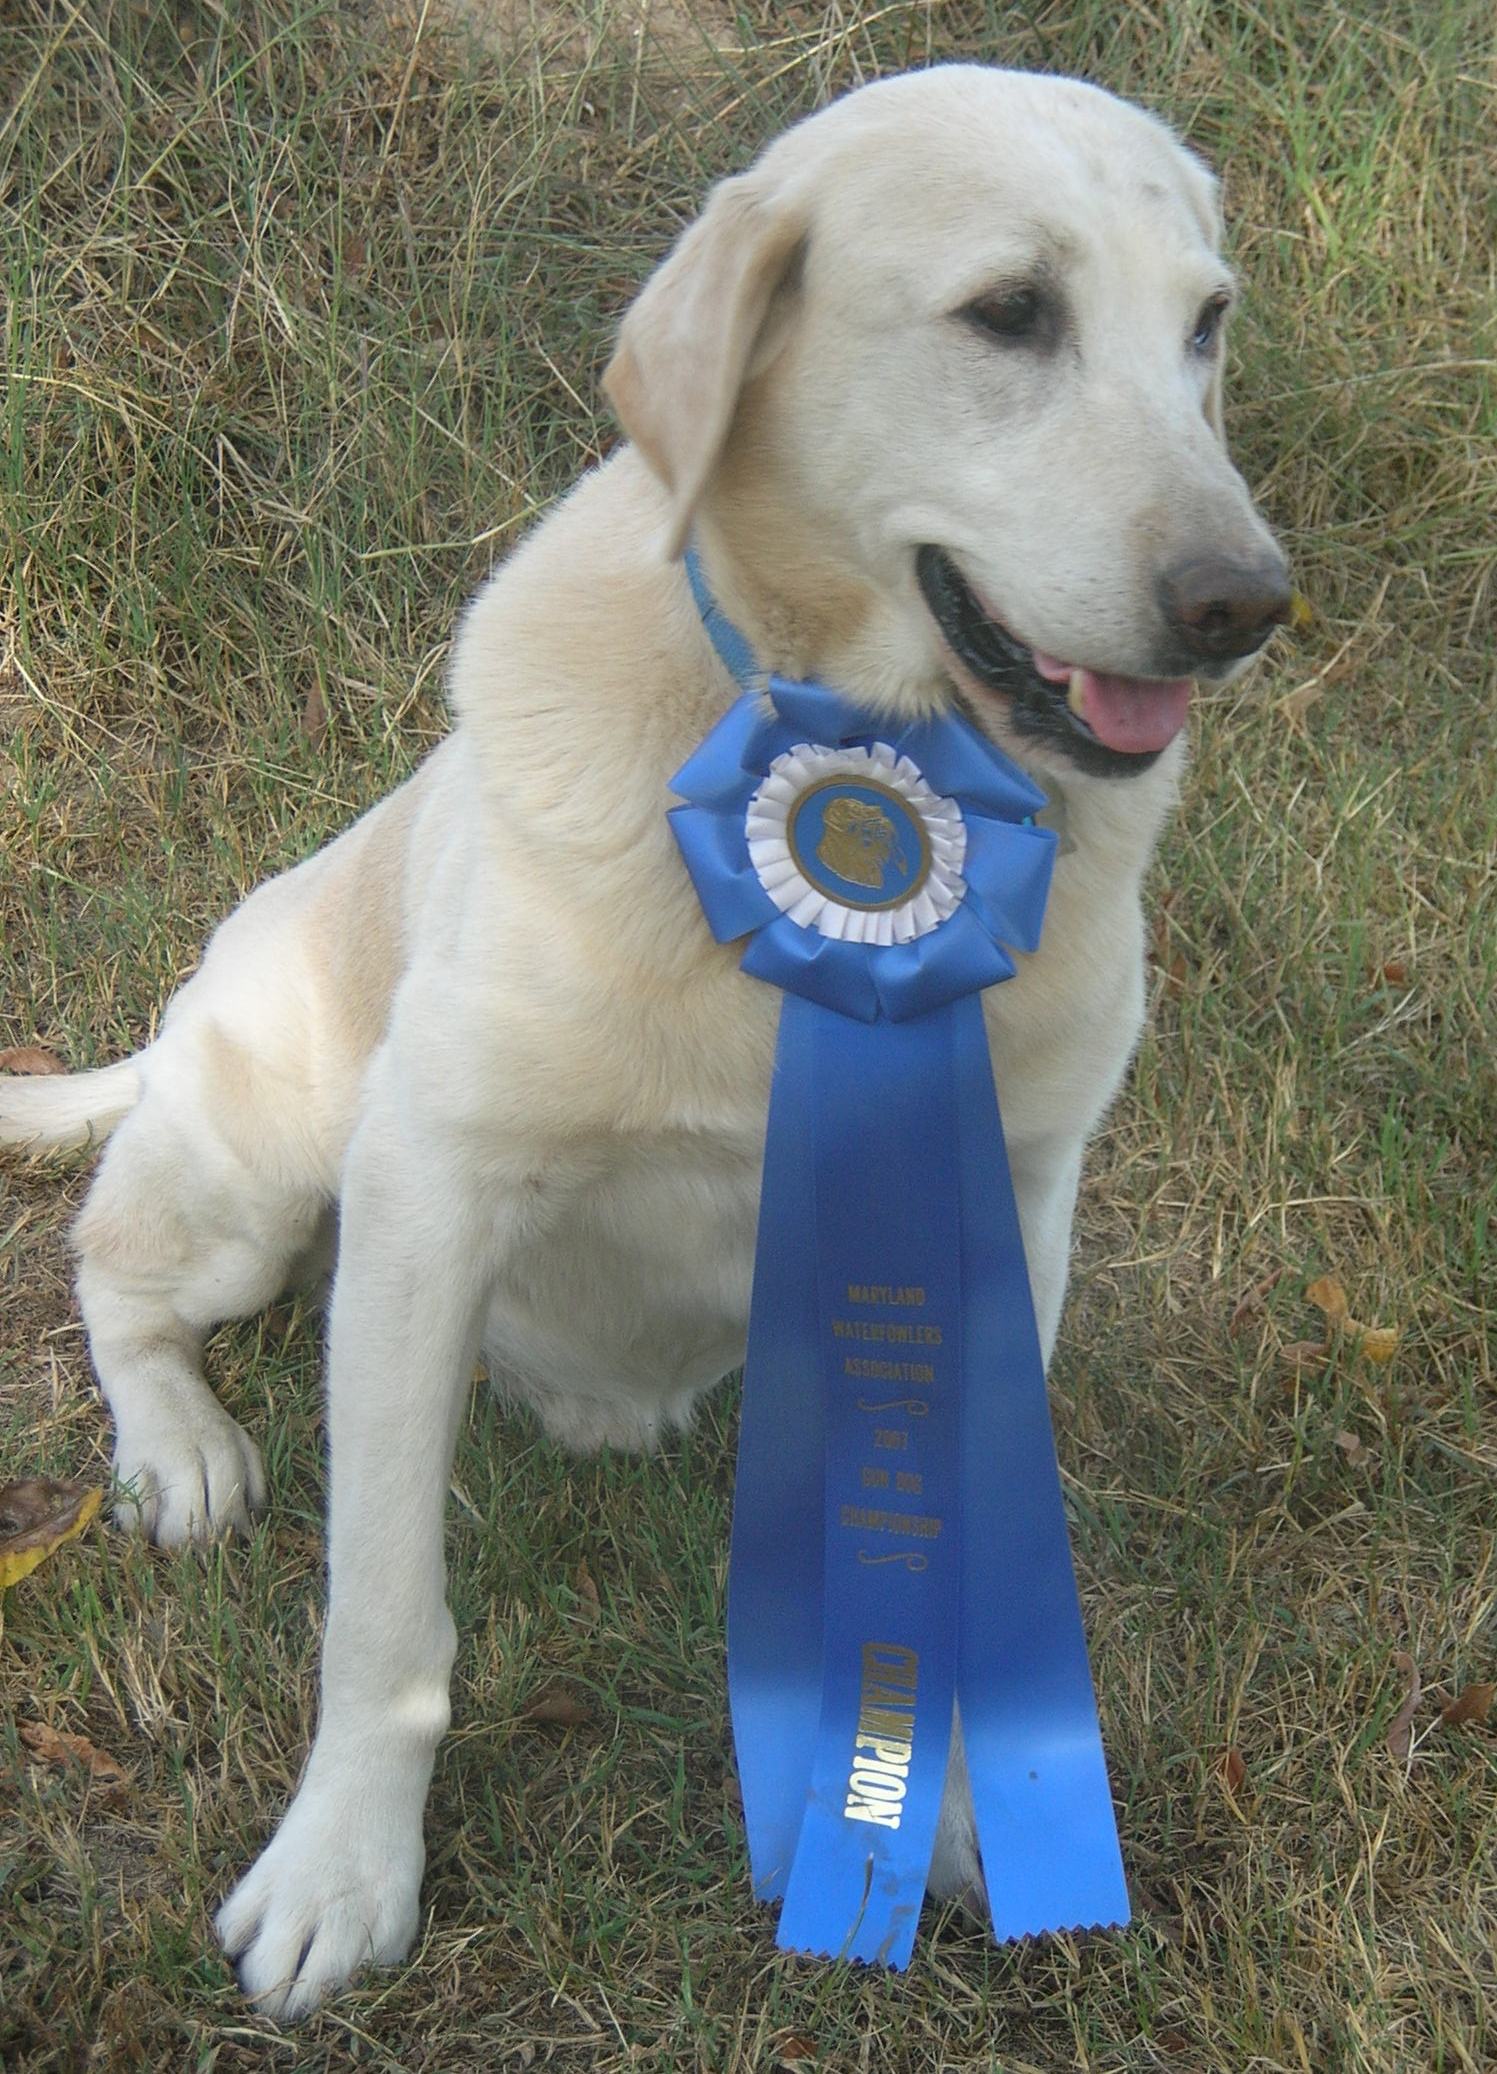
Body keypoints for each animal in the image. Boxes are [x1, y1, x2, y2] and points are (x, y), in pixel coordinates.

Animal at [0, 64, 1285, 2007]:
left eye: (1202, 323)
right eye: (1009, 311)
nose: (1245, 603)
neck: (844, 748)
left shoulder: (1014, 1208)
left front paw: (934, 1804)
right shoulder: (426, 1194)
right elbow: (385, 1616)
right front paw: (342, 1868)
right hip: (263, 1167)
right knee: (114, 1268)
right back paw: (181, 1447)